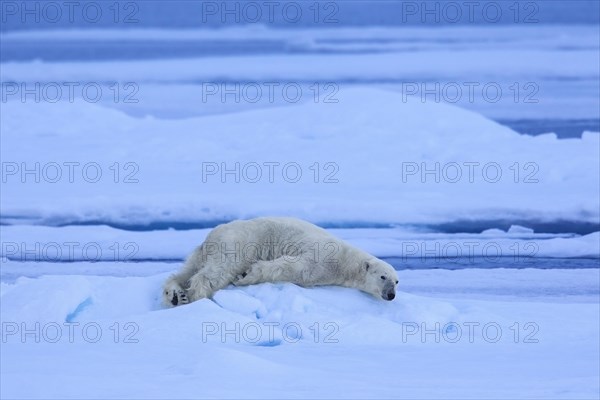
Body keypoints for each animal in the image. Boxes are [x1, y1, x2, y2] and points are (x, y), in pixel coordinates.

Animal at [164, 216, 398, 306]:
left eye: (397, 282)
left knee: (187, 269)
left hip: (203, 251)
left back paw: (175, 295)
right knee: (217, 270)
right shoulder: (321, 258)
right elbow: (294, 267)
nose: (391, 295)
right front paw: (246, 275)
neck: (346, 262)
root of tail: (212, 235)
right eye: (383, 276)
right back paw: (196, 295)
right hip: (237, 242)